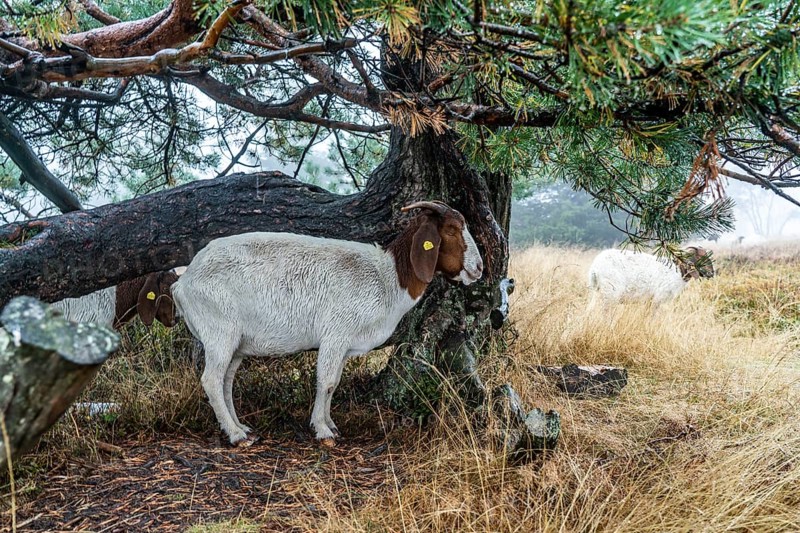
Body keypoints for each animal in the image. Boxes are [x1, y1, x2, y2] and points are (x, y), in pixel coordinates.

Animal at [172, 201, 484, 446]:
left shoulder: (345, 346)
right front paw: (322, 431)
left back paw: (242, 428)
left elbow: (334, 384)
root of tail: (183, 282)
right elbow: (327, 381)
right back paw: (236, 436)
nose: (479, 268)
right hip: (220, 332)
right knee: (212, 380)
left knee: (226, 380)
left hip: (236, 342)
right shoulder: (336, 334)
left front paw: (330, 423)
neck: (387, 277)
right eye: (451, 230)